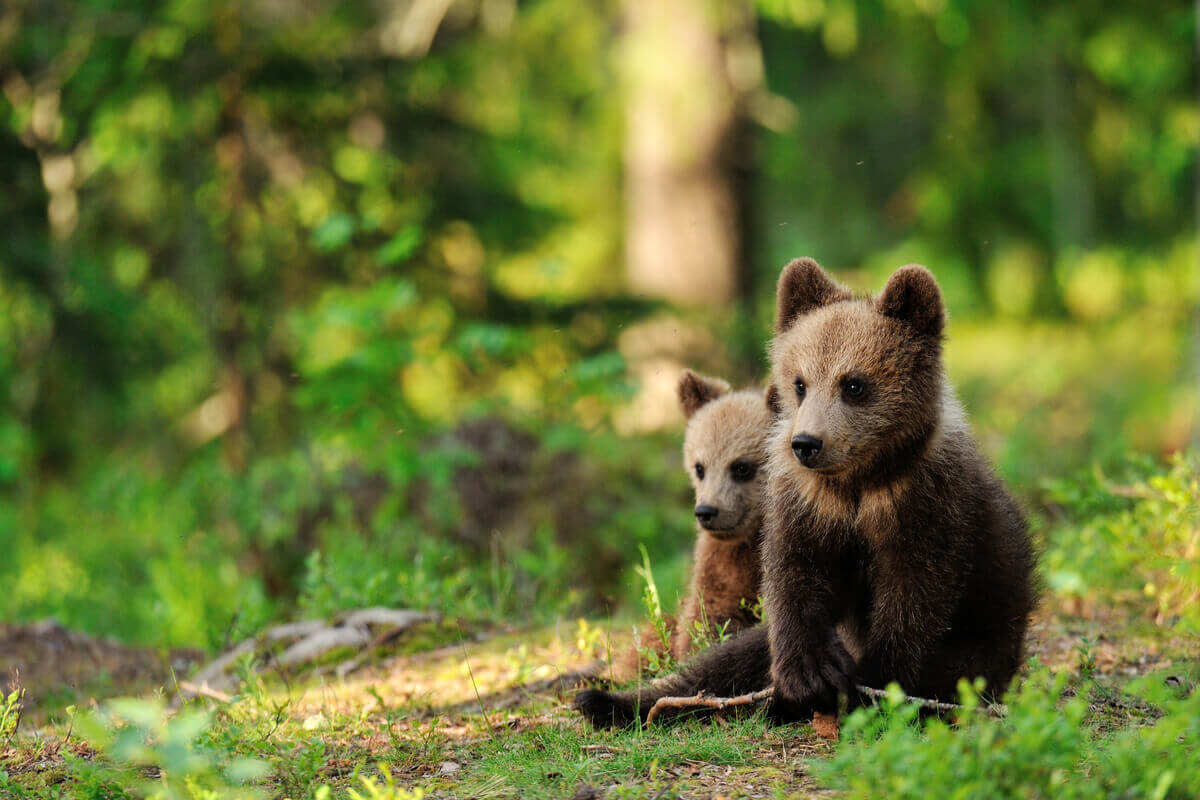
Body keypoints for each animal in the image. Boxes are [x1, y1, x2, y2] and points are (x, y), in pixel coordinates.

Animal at [610, 369, 770, 681]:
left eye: (741, 466)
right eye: (700, 467)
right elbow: (708, 612)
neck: (750, 538)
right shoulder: (721, 561)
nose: (707, 511)